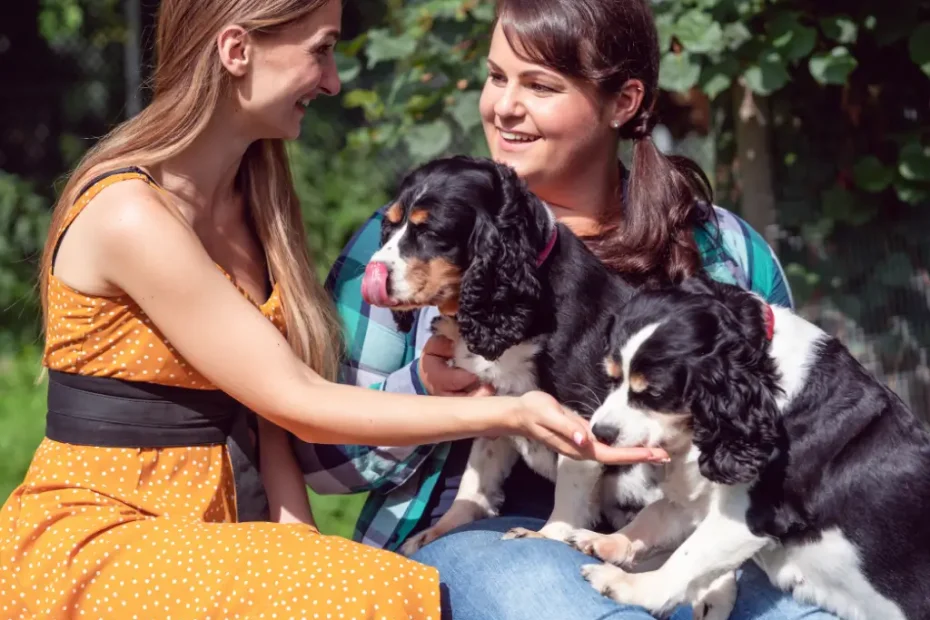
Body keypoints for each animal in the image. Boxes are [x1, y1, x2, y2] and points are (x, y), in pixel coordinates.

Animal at [354, 155, 660, 556]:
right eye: (390, 225)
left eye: (431, 231)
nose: (373, 273)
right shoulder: (499, 405)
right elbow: (476, 479)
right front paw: (441, 530)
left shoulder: (583, 413)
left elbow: (572, 486)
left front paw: (546, 535)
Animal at [572, 278, 928, 620]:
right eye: (611, 377)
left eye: (655, 393)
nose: (600, 433)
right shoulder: (703, 498)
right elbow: (656, 515)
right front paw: (608, 541)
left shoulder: (747, 516)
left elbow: (686, 560)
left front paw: (626, 585)